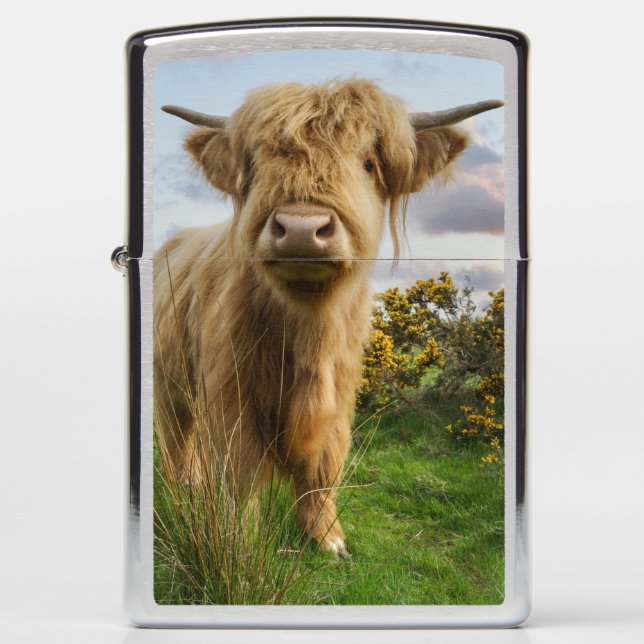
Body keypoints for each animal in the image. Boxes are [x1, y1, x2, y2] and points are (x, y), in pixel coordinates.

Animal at [154, 79, 502, 557]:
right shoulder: (230, 392)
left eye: (369, 163)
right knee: (176, 437)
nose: (302, 228)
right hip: (166, 381)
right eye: (255, 165)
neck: (308, 329)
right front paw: (237, 539)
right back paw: (182, 485)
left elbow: (324, 464)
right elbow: (239, 472)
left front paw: (327, 538)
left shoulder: (340, 389)